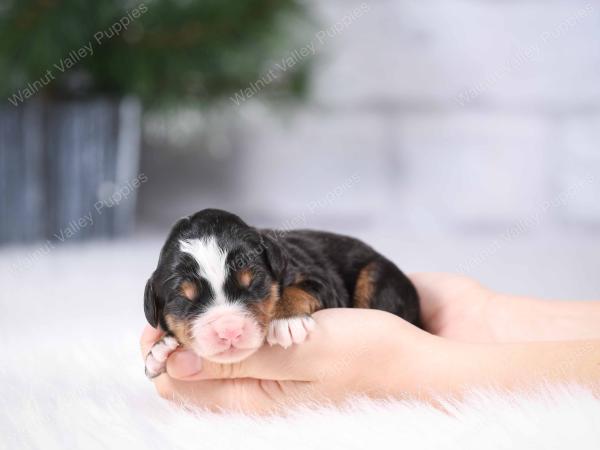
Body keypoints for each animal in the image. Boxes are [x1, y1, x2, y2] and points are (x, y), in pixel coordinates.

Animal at [143, 209, 420, 378]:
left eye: (253, 282)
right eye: (185, 299)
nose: (229, 331)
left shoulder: (319, 279)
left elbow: (299, 289)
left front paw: (286, 320)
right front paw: (160, 349)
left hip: (376, 276)